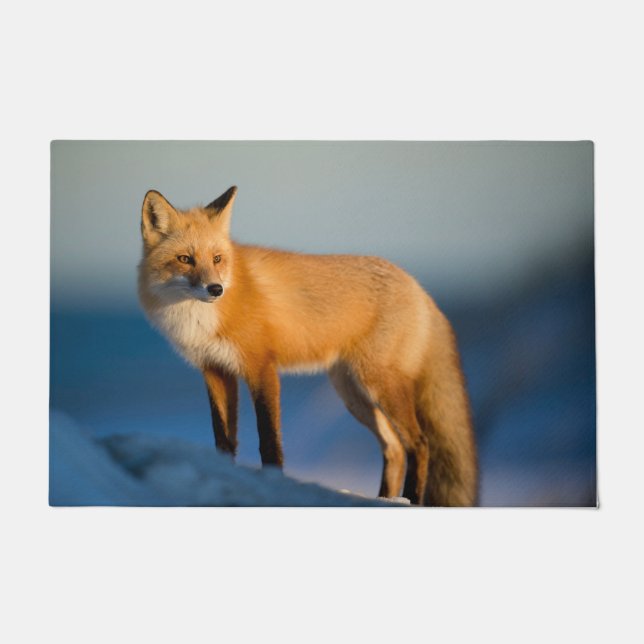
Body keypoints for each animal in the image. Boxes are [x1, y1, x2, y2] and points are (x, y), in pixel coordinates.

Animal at [138, 186, 478, 506]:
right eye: (185, 259)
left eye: (217, 259)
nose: (215, 289)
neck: (199, 318)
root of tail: (419, 288)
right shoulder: (215, 370)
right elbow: (223, 440)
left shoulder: (261, 367)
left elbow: (269, 439)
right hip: (353, 393)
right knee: (394, 448)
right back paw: (385, 499)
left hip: (379, 384)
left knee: (419, 444)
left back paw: (410, 500)